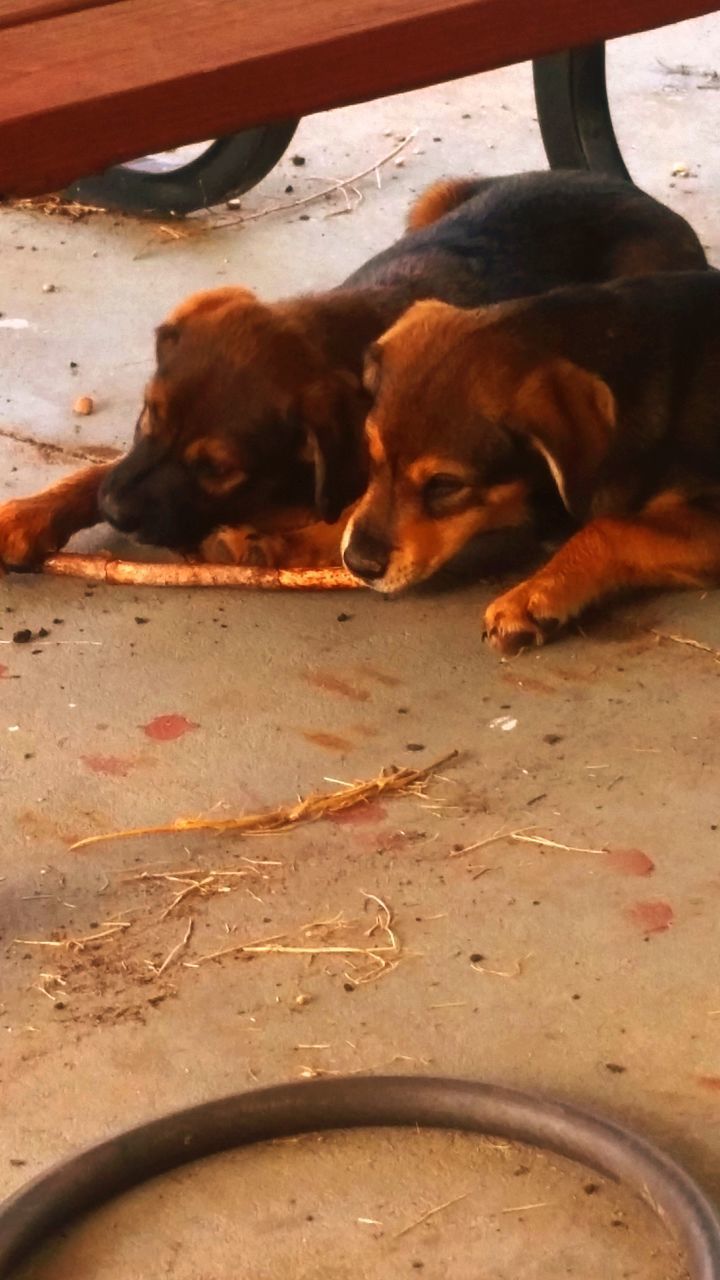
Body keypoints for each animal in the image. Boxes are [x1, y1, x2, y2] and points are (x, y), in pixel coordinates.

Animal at [0, 170, 707, 570]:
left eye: (219, 469)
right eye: (148, 415)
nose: (114, 513)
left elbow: (348, 524)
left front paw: (265, 543)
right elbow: (92, 470)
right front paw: (27, 516)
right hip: (436, 199)